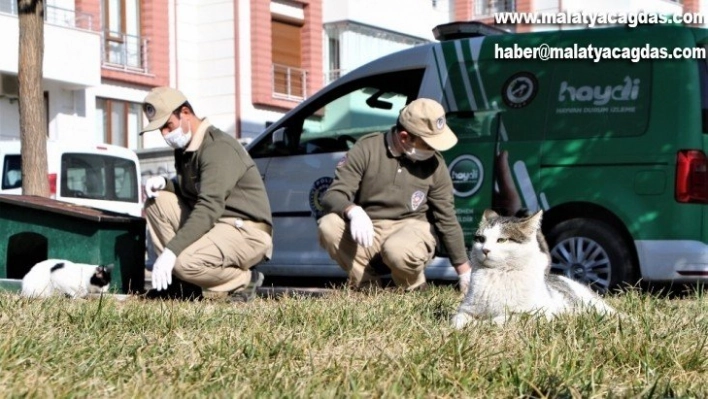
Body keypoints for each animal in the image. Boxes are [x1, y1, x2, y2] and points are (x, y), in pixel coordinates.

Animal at [454, 209, 612, 328]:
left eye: (502, 240)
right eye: (481, 239)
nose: (485, 250)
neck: (497, 273)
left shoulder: (539, 313)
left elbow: (501, 320)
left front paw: (482, 324)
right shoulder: (465, 310)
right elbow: (457, 320)